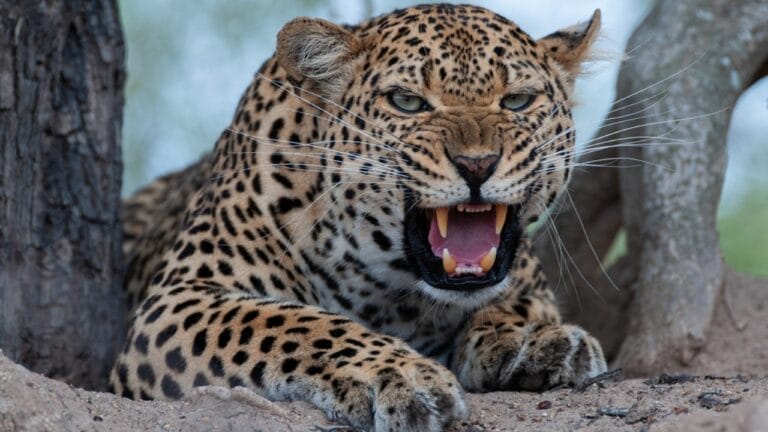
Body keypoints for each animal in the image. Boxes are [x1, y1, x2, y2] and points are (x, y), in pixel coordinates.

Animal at [112, 4, 607, 431]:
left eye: (518, 101)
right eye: (407, 102)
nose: (477, 165)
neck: (393, 294)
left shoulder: (526, 282)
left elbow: (516, 303)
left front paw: (533, 339)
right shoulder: (178, 299)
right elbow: (291, 323)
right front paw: (399, 375)